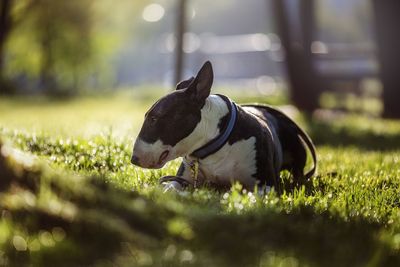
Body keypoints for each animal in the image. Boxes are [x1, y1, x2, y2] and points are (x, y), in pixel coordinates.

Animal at [131, 61, 316, 194]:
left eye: (154, 118)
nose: (134, 159)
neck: (214, 146)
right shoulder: (183, 179)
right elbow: (171, 186)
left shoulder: (266, 184)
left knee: (299, 173)